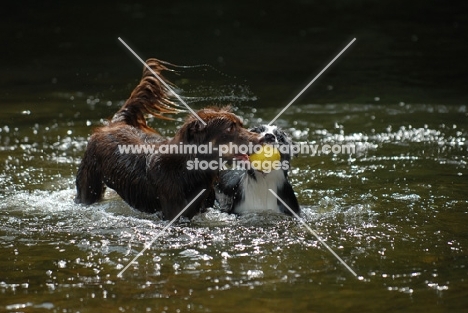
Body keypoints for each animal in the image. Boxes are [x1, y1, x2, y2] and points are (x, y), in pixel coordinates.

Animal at [75, 58, 262, 219]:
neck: (188, 170)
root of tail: (114, 124)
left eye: (241, 124)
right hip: (88, 185)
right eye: (230, 128)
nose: (262, 138)